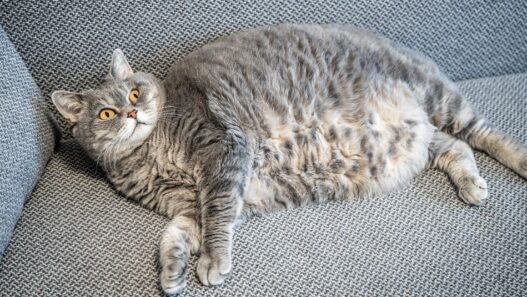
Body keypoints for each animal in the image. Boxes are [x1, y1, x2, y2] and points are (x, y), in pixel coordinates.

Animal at [50, 23, 527, 294]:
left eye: (134, 93)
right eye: (106, 113)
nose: (131, 113)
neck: (150, 159)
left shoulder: (223, 154)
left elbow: (216, 216)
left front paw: (213, 262)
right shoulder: (190, 205)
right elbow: (176, 234)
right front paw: (172, 272)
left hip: (439, 98)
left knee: (484, 134)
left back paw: (519, 160)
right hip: (414, 140)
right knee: (455, 147)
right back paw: (471, 184)